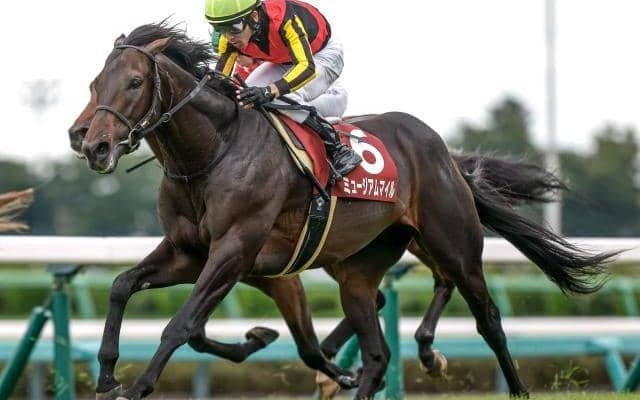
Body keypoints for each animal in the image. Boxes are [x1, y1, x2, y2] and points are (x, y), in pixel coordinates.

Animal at [76, 21, 617, 399]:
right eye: (95, 83)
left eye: (135, 82)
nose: (92, 144)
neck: (213, 153)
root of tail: (444, 154)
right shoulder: (190, 252)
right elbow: (123, 286)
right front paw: (106, 375)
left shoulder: (235, 252)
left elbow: (182, 325)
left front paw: (139, 385)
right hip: (358, 269)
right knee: (377, 346)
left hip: (455, 245)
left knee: (487, 319)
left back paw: (502, 380)